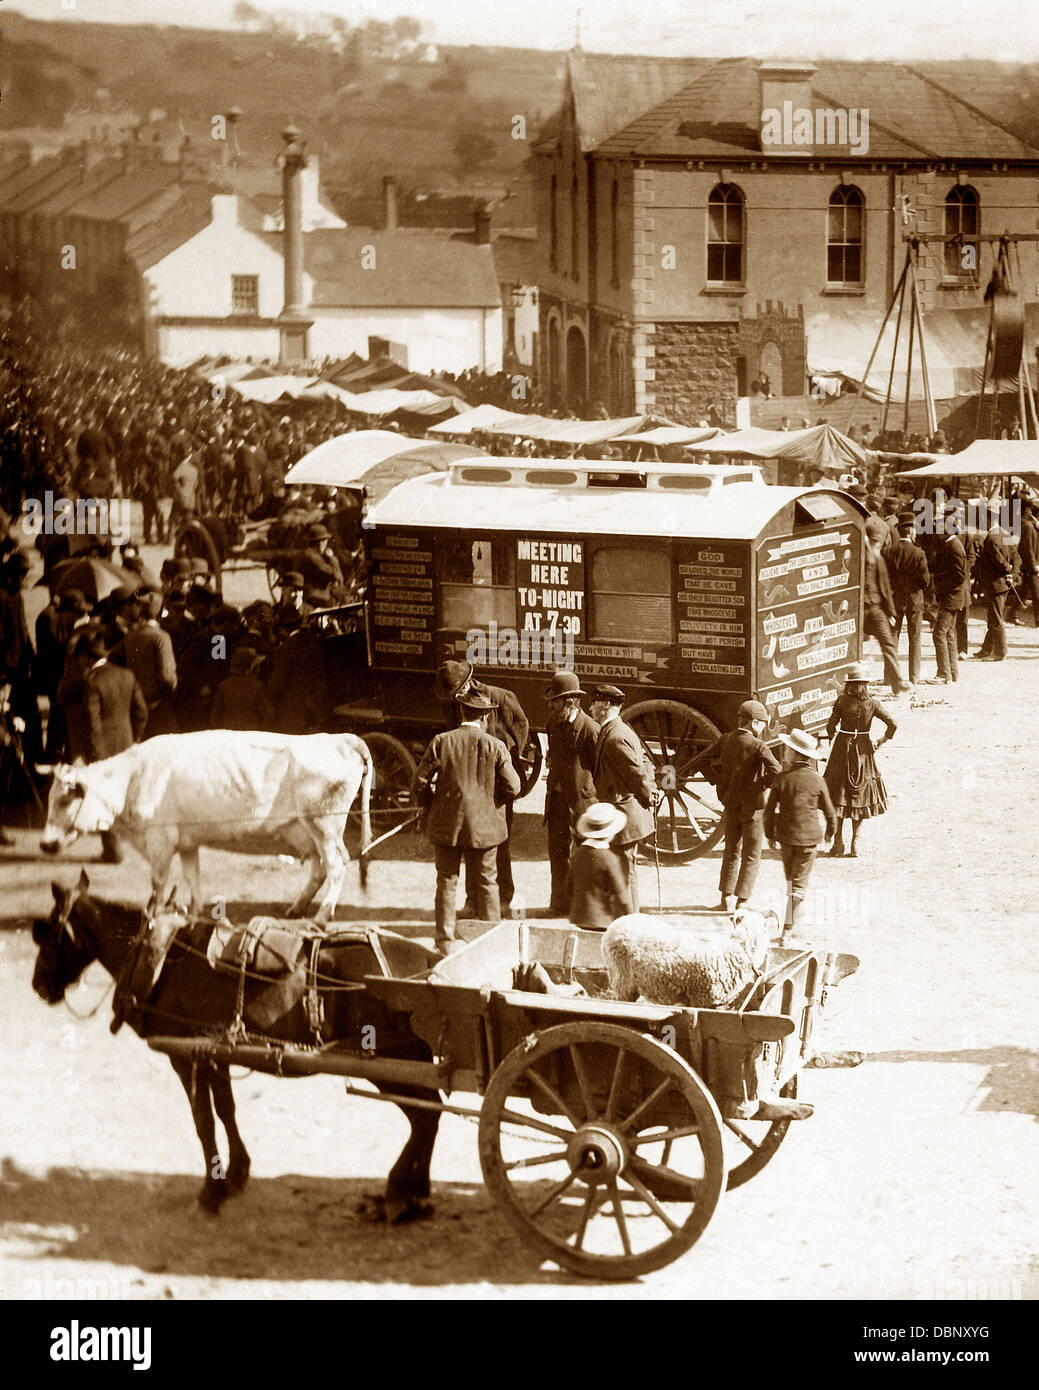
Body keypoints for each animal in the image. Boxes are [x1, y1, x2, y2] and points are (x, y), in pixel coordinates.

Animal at [33, 872, 442, 1223]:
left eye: (47, 931)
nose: (38, 985)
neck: (163, 957)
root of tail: (427, 961)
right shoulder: (214, 1053)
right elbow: (226, 1110)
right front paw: (236, 1173)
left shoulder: (185, 1056)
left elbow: (203, 1121)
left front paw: (211, 1192)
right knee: (431, 1113)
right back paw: (417, 1189)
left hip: (391, 1064)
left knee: (423, 1117)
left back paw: (400, 1191)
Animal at [40, 728, 372, 922]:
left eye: (64, 800)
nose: (45, 843)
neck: (132, 778)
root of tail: (337, 738)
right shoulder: (187, 842)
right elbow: (192, 878)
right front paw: (194, 914)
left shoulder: (160, 842)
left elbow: (158, 884)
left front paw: (153, 915)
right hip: (301, 828)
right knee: (319, 865)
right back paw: (297, 908)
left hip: (325, 824)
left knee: (337, 864)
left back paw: (323, 915)